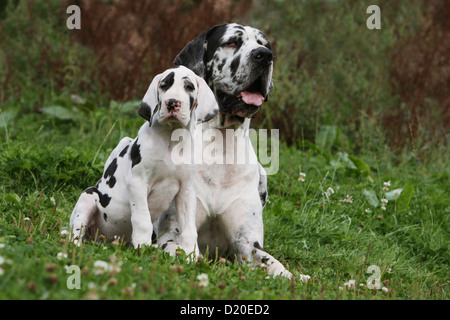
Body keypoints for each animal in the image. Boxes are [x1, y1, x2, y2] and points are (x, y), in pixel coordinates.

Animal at [68, 66, 218, 256]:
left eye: (189, 87)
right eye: (164, 85)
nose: (172, 103)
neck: (171, 138)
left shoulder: (186, 191)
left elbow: (189, 228)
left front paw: (191, 253)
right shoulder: (137, 182)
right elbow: (142, 220)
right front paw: (143, 245)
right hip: (88, 197)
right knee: (75, 233)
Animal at [156, 23, 296, 278]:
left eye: (264, 44)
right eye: (231, 42)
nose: (264, 56)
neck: (220, 145)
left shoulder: (248, 243)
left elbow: (276, 266)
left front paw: (298, 277)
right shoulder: (171, 234)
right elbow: (183, 251)